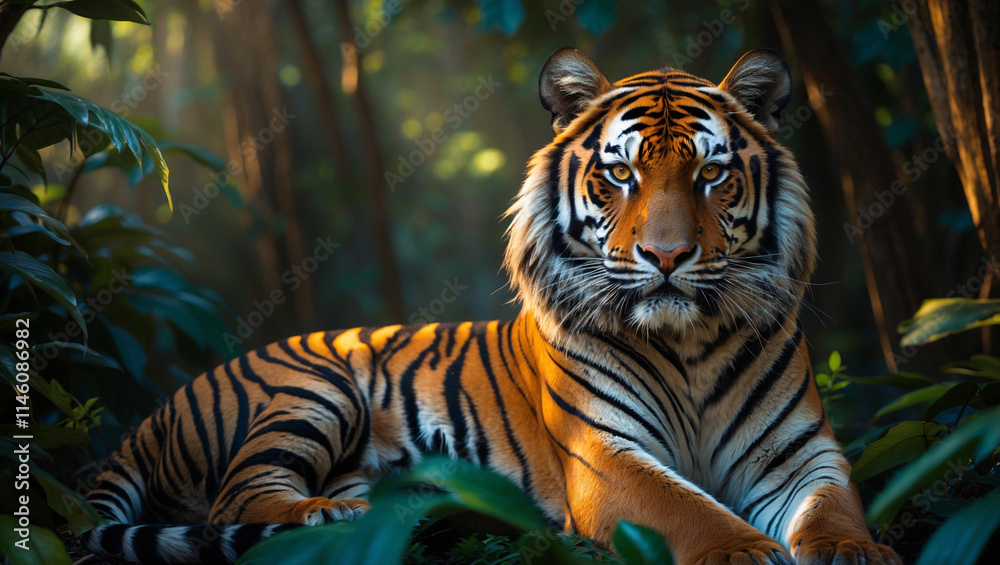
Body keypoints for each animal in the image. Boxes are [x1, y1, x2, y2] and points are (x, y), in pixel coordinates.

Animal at [78, 48, 901, 565]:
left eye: (710, 175)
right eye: (622, 175)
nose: (666, 257)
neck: (688, 343)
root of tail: (154, 412)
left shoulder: (801, 452)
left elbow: (834, 508)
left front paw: (855, 550)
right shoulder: (605, 457)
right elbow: (689, 508)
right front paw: (742, 549)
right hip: (313, 388)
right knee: (235, 498)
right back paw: (321, 515)